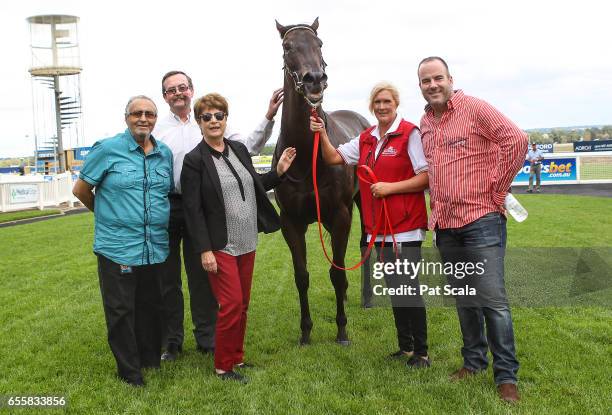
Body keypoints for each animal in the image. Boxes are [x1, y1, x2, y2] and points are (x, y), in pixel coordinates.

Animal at [272, 17, 368, 346]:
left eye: (320, 44)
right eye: (288, 46)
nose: (315, 79)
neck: (307, 157)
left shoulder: (340, 216)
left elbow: (336, 272)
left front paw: (341, 331)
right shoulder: (291, 222)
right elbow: (302, 277)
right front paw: (305, 332)